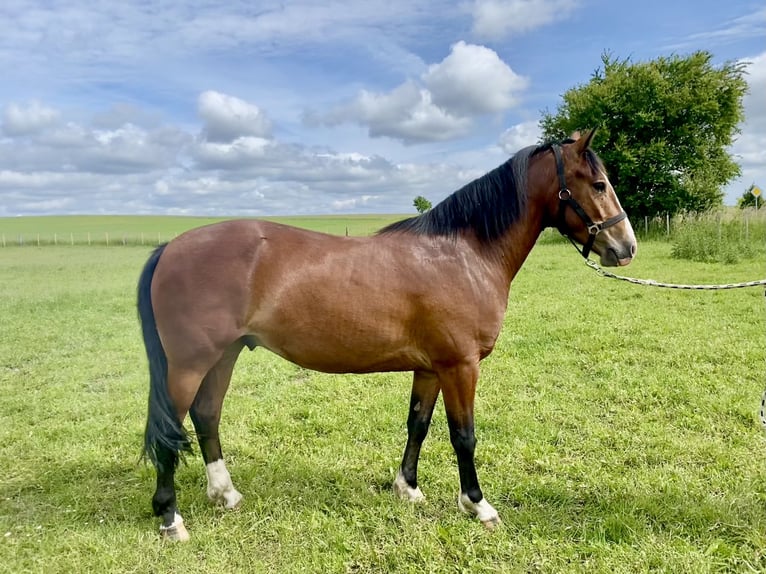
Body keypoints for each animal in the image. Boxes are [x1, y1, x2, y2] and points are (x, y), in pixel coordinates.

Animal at [136, 128, 636, 544]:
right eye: (598, 184)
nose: (626, 247)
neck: (462, 254)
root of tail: (170, 248)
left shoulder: (431, 368)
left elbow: (419, 424)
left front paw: (407, 488)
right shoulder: (460, 366)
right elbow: (464, 436)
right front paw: (477, 506)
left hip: (224, 355)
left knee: (206, 415)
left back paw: (226, 495)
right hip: (189, 364)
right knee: (169, 431)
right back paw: (171, 520)